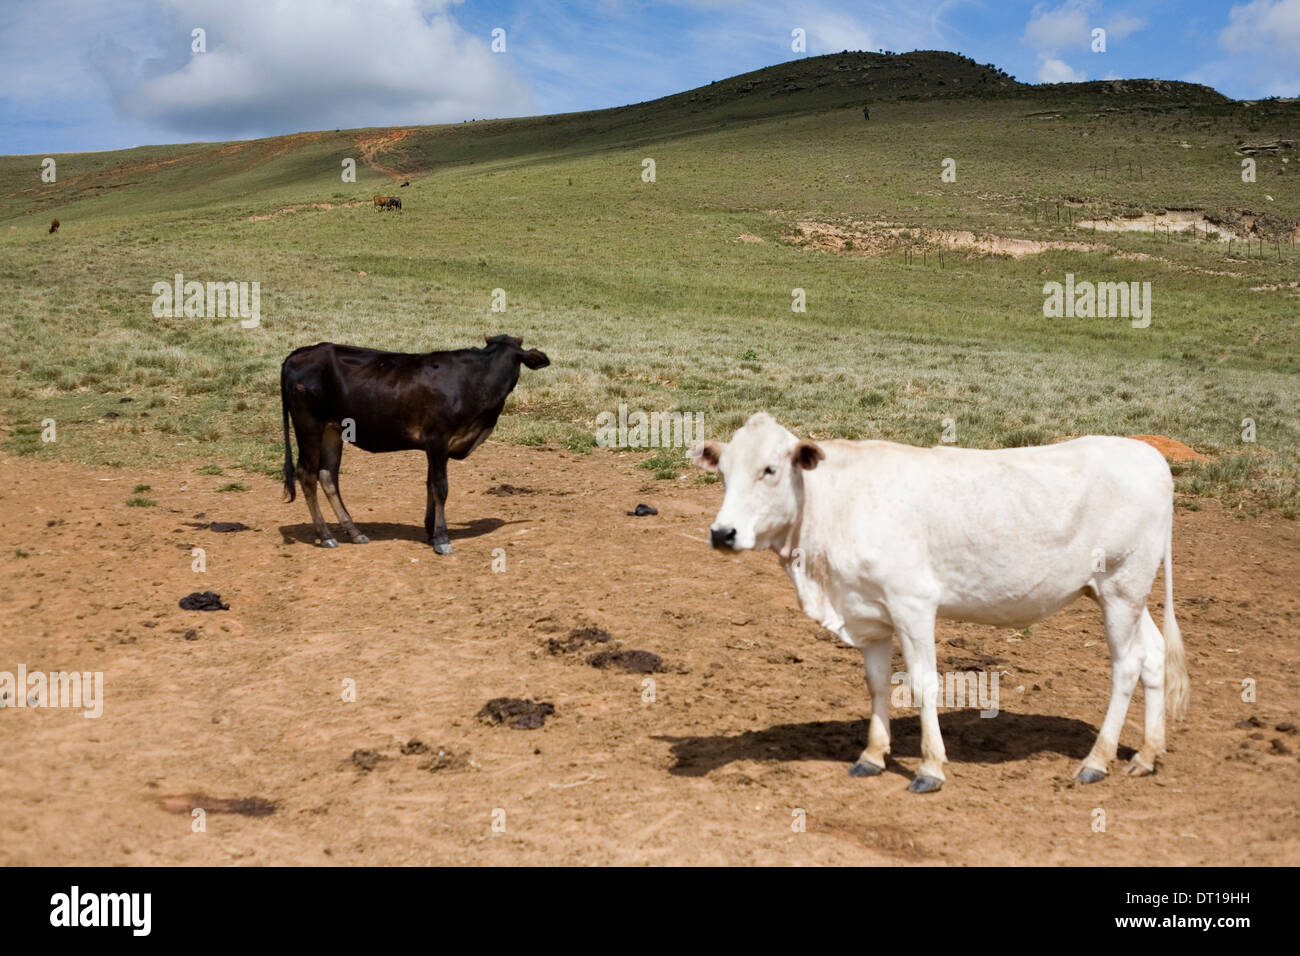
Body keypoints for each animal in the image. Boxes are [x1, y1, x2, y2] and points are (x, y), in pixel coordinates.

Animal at [279, 335, 548, 554]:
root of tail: (301, 352)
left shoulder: (435, 447)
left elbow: (430, 485)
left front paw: (430, 531)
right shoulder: (438, 439)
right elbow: (441, 488)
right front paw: (442, 539)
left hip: (332, 430)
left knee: (328, 475)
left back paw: (354, 532)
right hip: (309, 425)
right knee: (307, 474)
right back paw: (325, 535)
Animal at [691, 411, 1190, 790]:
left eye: (770, 469)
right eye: (723, 473)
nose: (722, 533)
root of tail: (1148, 454)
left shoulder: (912, 604)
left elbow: (923, 683)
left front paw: (930, 767)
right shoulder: (868, 612)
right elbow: (877, 683)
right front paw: (872, 755)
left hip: (1121, 587)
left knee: (1126, 665)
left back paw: (1096, 760)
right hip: (1121, 592)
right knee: (1152, 654)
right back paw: (1146, 754)